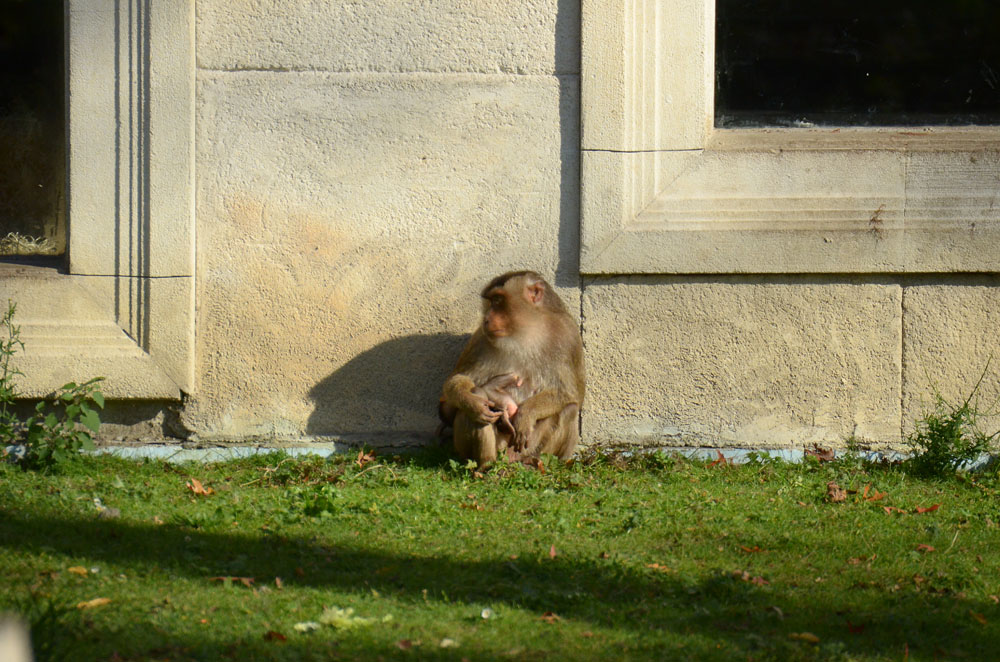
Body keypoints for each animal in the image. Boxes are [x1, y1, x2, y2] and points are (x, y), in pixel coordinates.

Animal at [440, 271, 585, 467]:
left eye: (498, 301)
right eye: (491, 301)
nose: (486, 319)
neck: (527, 332)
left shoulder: (569, 336)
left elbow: (572, 393)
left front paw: (527, 413)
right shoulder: (480, 339)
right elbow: (454, 384)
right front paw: (470, 401)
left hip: (527, 447)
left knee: (569, 409)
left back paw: (533, 462)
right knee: (470, 409)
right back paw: (486, 465)